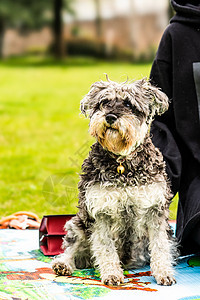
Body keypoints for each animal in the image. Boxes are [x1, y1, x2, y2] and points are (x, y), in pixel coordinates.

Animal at [52, 77, 177, 286]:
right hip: (78, 224)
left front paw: (164, 273)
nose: (110, 117)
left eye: (128, 104)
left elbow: (160, 245)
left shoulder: (155, 210)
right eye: (103, 103)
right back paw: (63, 264)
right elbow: (105, 247)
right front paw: (111, 273)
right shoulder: (99, 212)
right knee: (72, 248)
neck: (122, 162)